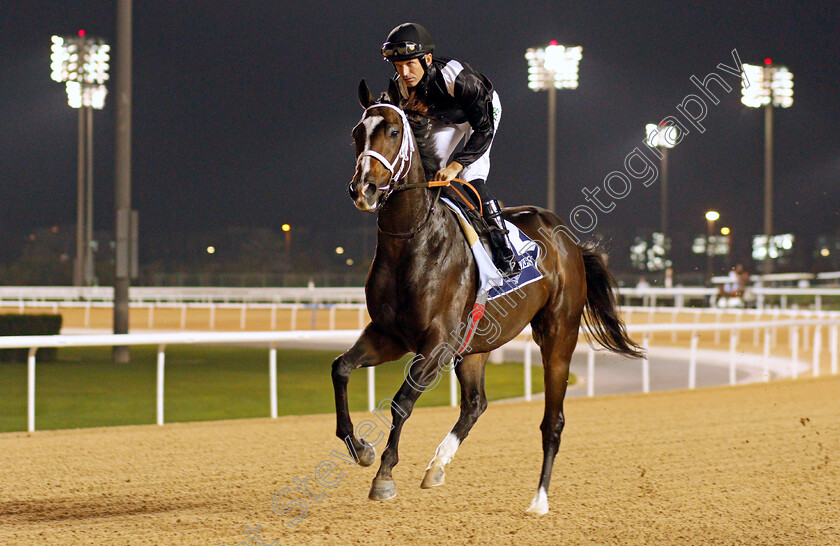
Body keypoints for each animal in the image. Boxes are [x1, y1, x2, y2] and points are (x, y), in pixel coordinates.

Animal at [332, 78, 640, 512]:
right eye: (357, 133)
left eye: (392, 131)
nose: (365, 189)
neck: (413, 242)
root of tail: (568, 240)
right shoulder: (389, 334)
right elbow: (341, 368)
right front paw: (360, 449)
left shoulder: (437, 342)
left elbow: (402, 401)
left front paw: (384, 475)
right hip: (476, 345)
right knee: (476, 403)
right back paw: (437, 466)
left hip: (558, 334)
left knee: (553, 420)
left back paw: (539, 499)